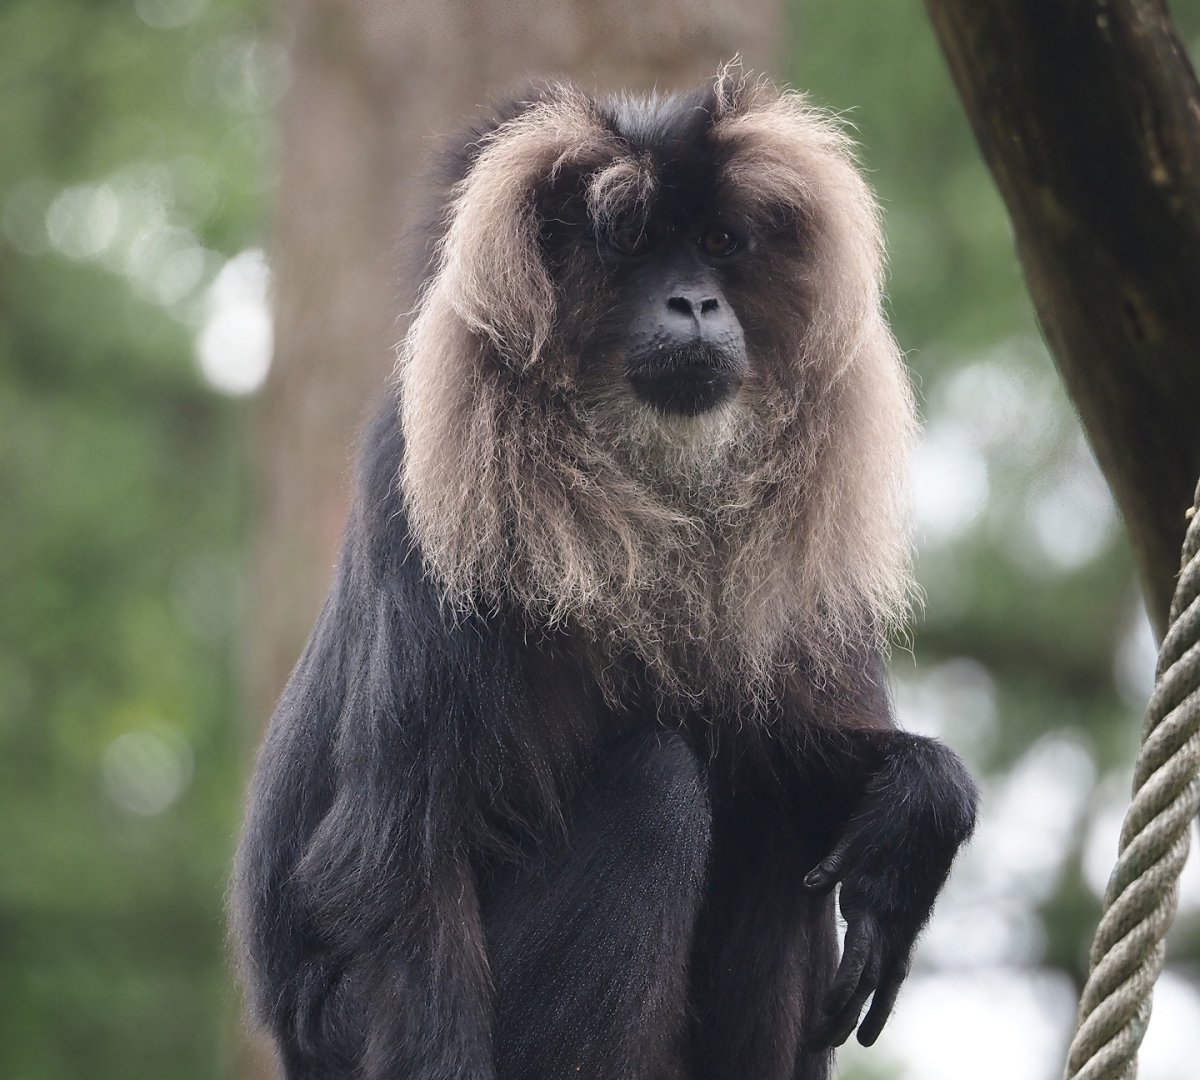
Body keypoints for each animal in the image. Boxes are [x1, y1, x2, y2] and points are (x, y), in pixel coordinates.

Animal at [231, 65, 978, 1080]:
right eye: (631, 245)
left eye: (717, 243)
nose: (696, 304)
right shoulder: (423, 494)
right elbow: (393, 865)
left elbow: (794, 755)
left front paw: (919, 805)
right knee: (656, 793)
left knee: (770, 809)